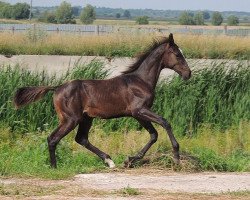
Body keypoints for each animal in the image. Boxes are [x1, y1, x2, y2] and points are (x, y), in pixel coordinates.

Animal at [13, 33, 191, 168]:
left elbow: (153, 135)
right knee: (53, 139)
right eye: (177, 54)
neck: (140, 81)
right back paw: (54, 167)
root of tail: (57, 88)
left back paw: (109, 161)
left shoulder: (138, 115)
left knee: (81, 139)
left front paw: (130, 160)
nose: (188, 74)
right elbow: (165, 123)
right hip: (71, 119)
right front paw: (176, 156)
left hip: (86, 118)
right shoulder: (139, 110)